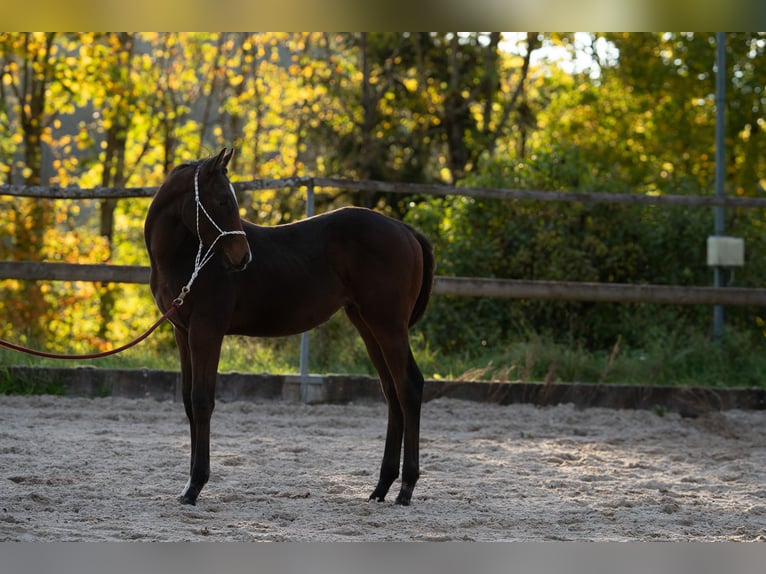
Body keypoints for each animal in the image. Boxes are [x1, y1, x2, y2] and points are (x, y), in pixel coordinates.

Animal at [144, 148, 435, 506]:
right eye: (222, 200)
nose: (242, 258)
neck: (186, 257)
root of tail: (406, 230)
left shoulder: (206, 330)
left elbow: (202, 401)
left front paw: (195, 485)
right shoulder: (183, 332)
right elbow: (187, 401)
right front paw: (187, 485)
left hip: (389, 325)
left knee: (409, 387)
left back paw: (406, 488)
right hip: (367, 324)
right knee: (391, 391)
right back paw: (381, 487)